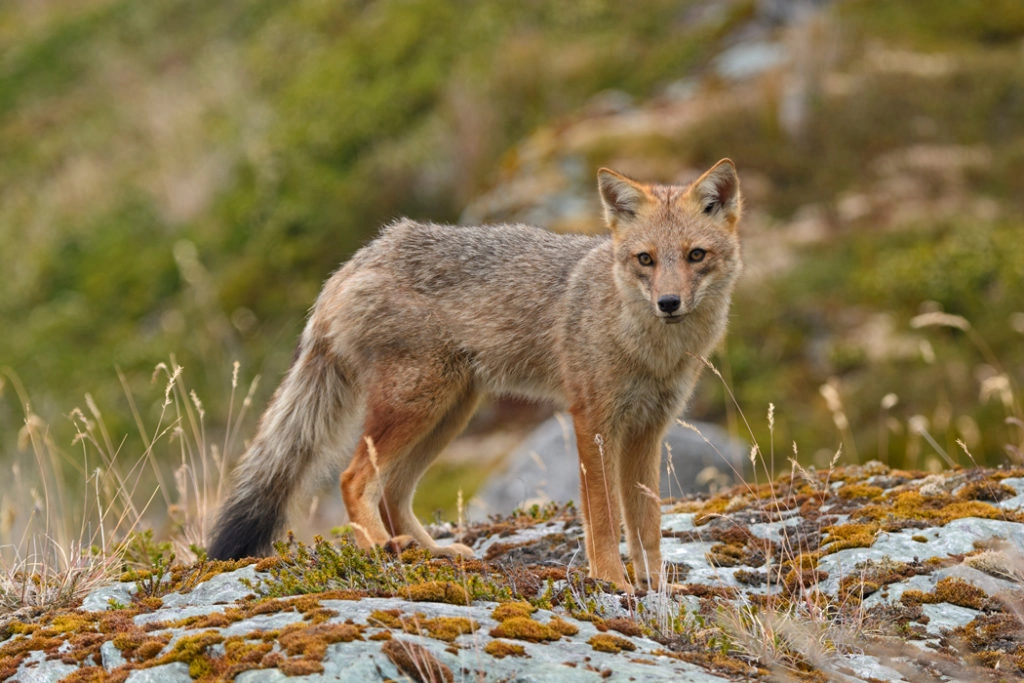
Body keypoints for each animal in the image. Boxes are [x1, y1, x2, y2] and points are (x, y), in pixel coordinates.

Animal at [208, 159, 743, 591]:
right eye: (645, 259)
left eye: (695, 255)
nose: (668, 303)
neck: (651, 349)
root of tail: (363, 256)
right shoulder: (593, 424)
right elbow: (605, 520)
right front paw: (613, 581)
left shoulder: (647, 431)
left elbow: (647, 523)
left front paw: (658, 586)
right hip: (417, 406)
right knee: (353, 479)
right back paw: (381, 549)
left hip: (448, 413)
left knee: (393, 493)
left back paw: (431, 551)